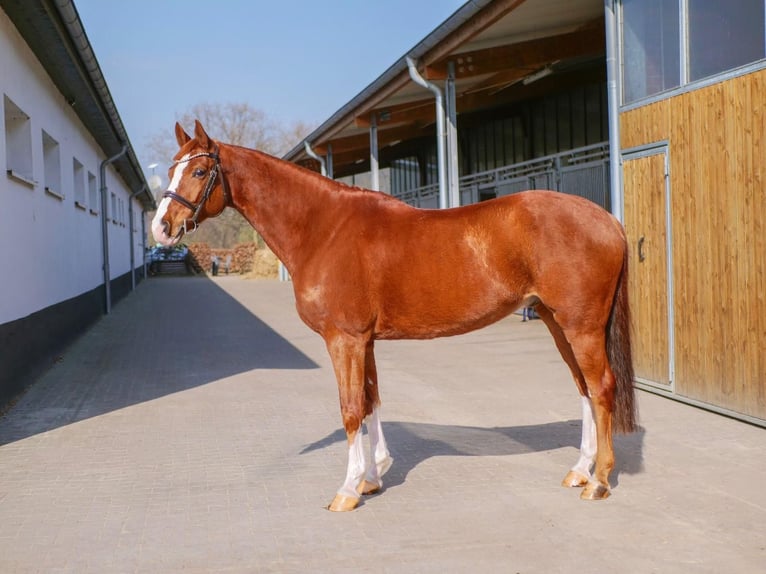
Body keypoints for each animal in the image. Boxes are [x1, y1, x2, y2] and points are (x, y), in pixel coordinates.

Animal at [152, 120, 637, 512]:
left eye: (199, 171)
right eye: (172, 168)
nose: (161, 227)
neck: (324, 229)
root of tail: (608, 220)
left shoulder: (344, 339)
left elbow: (350, 409)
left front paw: (347, 491)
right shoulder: (363, 340)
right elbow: (371, 402)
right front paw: (372, 477)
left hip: (581, 326)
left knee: (601, 387)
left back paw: (598, 482)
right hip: (558, 322)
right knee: (583, 388)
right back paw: (579, 469)